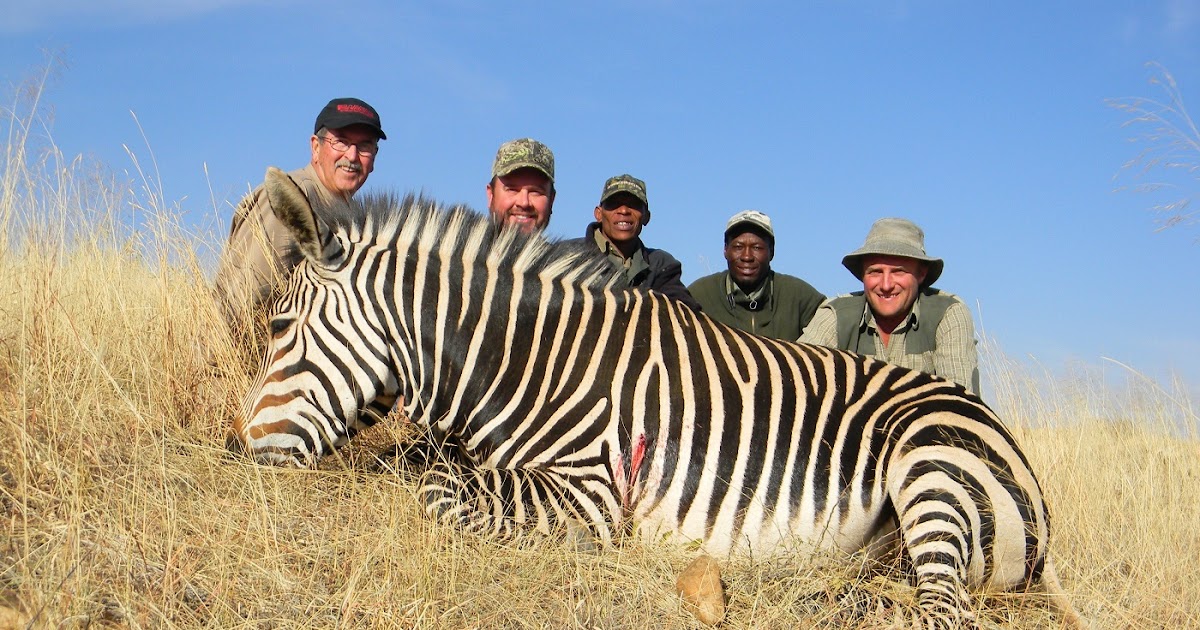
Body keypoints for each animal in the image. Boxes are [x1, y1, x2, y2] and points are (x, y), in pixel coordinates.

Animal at [227, 166, 1083, 628]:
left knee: (942, 608)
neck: (533, 362)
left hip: (927, 466)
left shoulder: (596, 492)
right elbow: (418, 465)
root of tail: (1008, 444)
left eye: (279, 326)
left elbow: (438, 488)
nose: (238, 451)